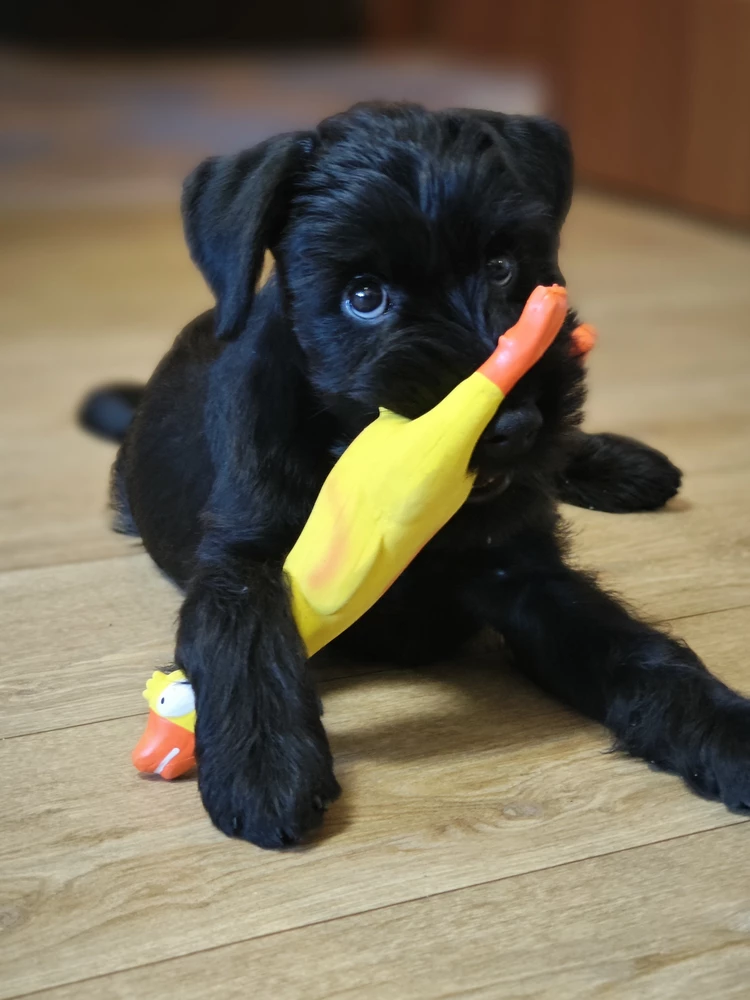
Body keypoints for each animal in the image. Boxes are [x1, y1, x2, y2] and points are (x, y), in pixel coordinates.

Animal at [82, 105, 750, 848]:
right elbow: (243, 636)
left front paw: (731, 731)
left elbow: (639, 652)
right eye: (363, 296)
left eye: (501, 266)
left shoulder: (521, 568)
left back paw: (625, 464)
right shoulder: (237, 559)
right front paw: (263, 764)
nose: (517, 425)